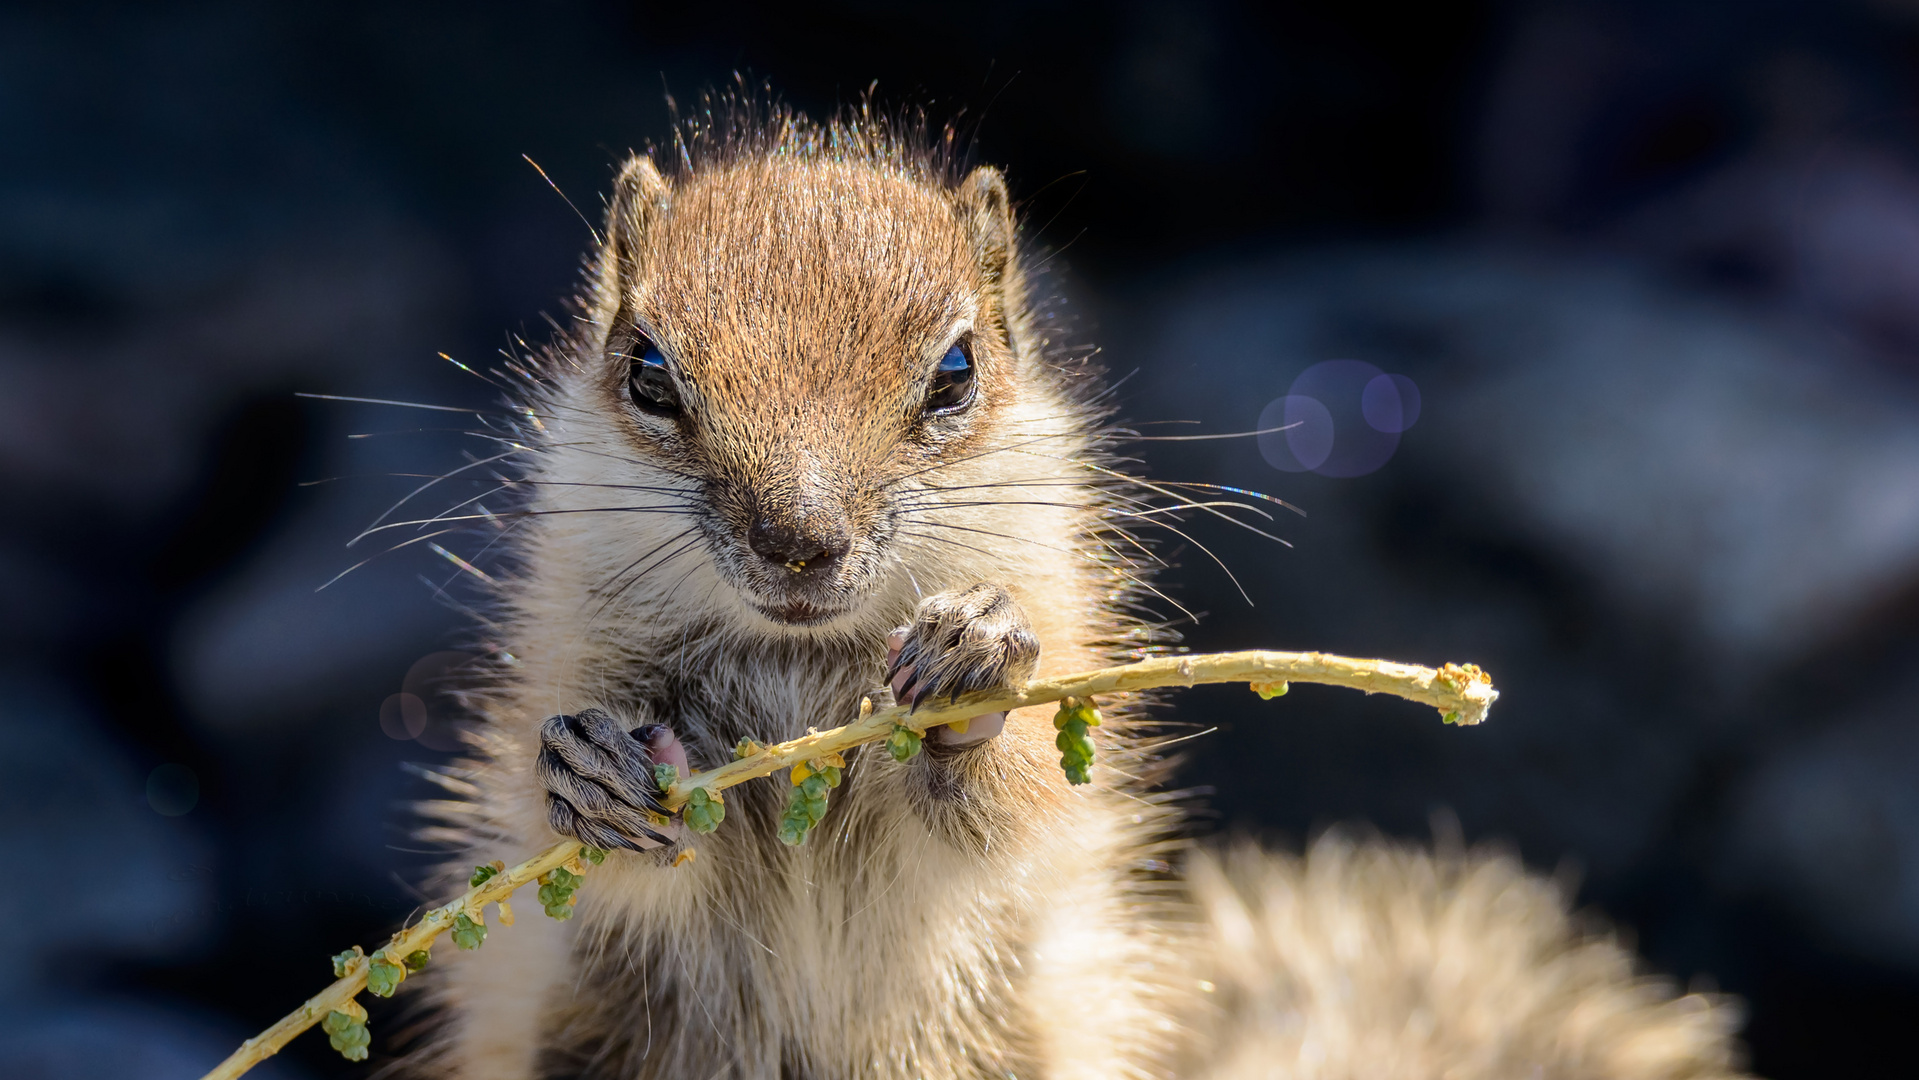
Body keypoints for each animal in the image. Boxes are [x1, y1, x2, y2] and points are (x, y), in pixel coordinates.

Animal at [408, 105, 1757, 1080]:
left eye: (955, 372)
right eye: (646, 372)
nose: (801, 542)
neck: (800, 666)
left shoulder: (1059, 733)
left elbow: (1016, 811)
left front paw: (970, 668)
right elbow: (585, 854)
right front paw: (589, 769)